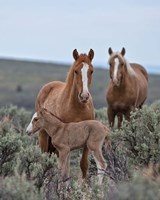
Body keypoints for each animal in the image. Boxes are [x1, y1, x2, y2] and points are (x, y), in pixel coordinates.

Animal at [26, 48, 95, 180]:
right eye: (76, 71)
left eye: (91, 71)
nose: (84, 96)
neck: (78, 108)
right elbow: (63, 169)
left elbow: (83, 165)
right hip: (43, 136)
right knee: (46, 161)